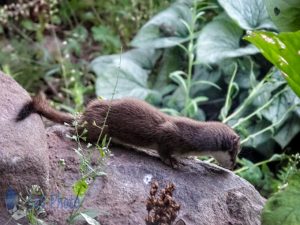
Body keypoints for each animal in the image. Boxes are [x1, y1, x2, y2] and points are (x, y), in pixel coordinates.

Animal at [17, 93, 241, 169]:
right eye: (235, 155)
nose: (232, 167)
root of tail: (85, 112)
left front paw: (188, 160)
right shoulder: (169, 134)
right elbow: (163, 149)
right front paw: (173, 161)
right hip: (97, 127)